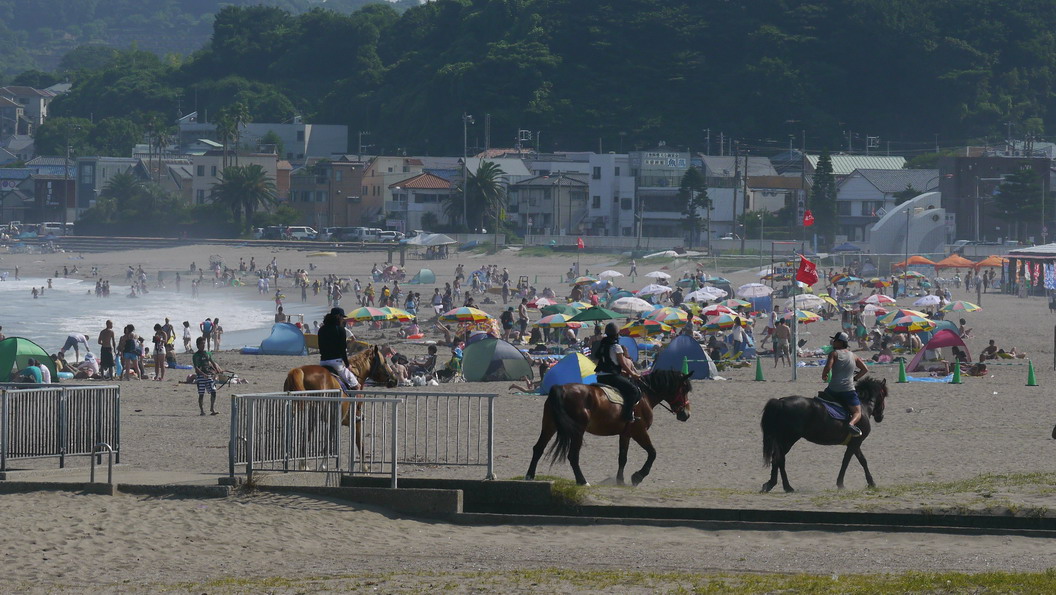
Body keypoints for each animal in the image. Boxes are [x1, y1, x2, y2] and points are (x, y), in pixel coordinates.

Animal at [521, 372, 688, 488]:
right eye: (684, 390)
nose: (686, 414)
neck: (645, 395)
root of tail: (561, 389)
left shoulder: (626, 434)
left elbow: (622, 457)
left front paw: (620, 481)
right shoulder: (639, 432)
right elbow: (652, 453)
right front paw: (637, 477)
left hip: (549, 425)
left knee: (538, 448)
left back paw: (529, 476)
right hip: (577, 431)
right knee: (573, 456)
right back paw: (582, 481)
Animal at [760, 376, 891, 494]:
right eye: (883, 395)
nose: (880, 417)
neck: (863, 407)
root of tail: (780, 402)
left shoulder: (854, 443)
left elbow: (862, 460)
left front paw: (871, 483)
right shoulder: (855, 442)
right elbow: (848, 461)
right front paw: (841, 484)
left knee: (777, 458)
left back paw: (775, 484)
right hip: (788, 439)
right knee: (779, 458)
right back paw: (785, 486)